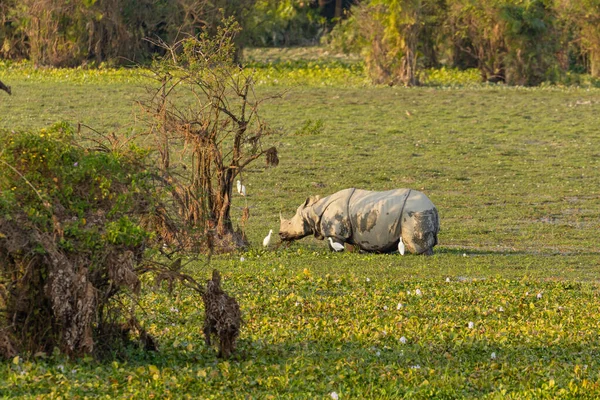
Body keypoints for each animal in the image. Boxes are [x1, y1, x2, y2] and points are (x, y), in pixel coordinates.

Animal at [278, 189, 438, 255]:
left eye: (290, 224)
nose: (280, 234)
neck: (313, 211)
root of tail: (433, 206)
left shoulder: (335, 232)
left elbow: (334, 244)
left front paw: (336, 253)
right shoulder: (349, 229)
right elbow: (351, 244)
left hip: (414, 213)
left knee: (414, 245)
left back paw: (423, 254)